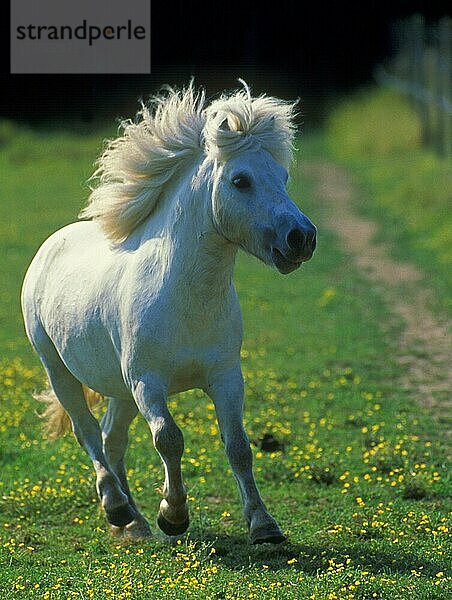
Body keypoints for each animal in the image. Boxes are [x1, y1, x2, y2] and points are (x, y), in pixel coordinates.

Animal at [22, 83, 318, 544]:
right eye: (240, 180)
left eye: (283, 177)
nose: (301, 237)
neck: (187, 299)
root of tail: (52, 243)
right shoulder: (148, 382)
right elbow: (169, 440)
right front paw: (174, 515)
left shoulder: (225, 377)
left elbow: (239, 446)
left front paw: (263, 524)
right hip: (61, 370)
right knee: (88, 433)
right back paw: (117, 507)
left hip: (119, 388)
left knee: (112, 438)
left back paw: (134, 523)